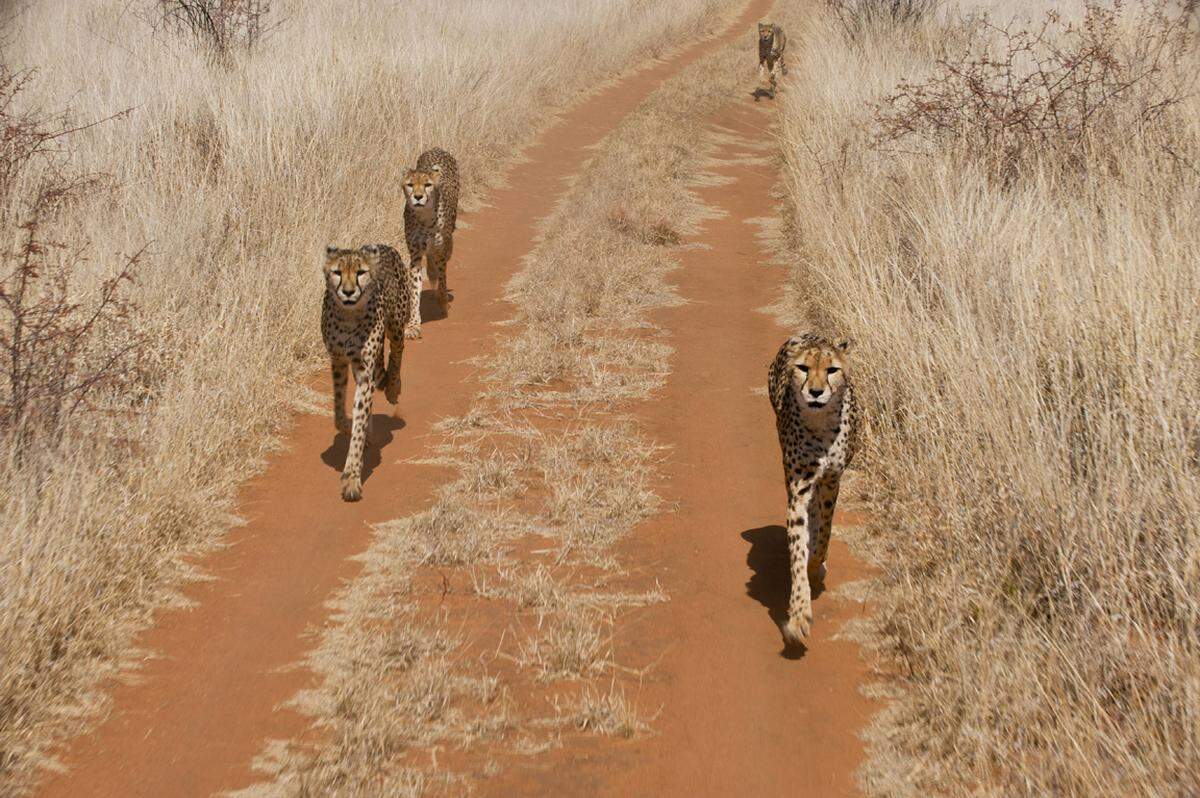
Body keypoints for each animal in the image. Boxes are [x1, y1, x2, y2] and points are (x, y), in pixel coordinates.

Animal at [324, 244, 412, 504]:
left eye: (360, 272)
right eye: (337, 272)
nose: (348, 292)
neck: (348, 315)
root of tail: (382, 245)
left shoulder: (364, 372)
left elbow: (359, 419)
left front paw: (351, 478)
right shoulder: (338, 361)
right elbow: (339, 412)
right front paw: (349, 426)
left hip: (396, 323)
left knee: (397, 351)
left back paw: (393, 387)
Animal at [403, 147, 458, 338]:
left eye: (427, 185)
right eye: (410, 185)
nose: (418, 197)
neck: (425, 218)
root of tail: (436, 149)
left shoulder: (441, 249)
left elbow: (442, 279)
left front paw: (443, 303)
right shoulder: (415, 255)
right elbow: (414, 289)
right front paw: (413, 325)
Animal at [768, 331, 864, 648]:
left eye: (832, 370)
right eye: (804, 368)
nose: (816, 392)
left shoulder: (831, 481)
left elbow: (825, 533)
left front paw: (815, 566)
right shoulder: (799, 488)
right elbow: (798, 549)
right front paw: (798, 615)